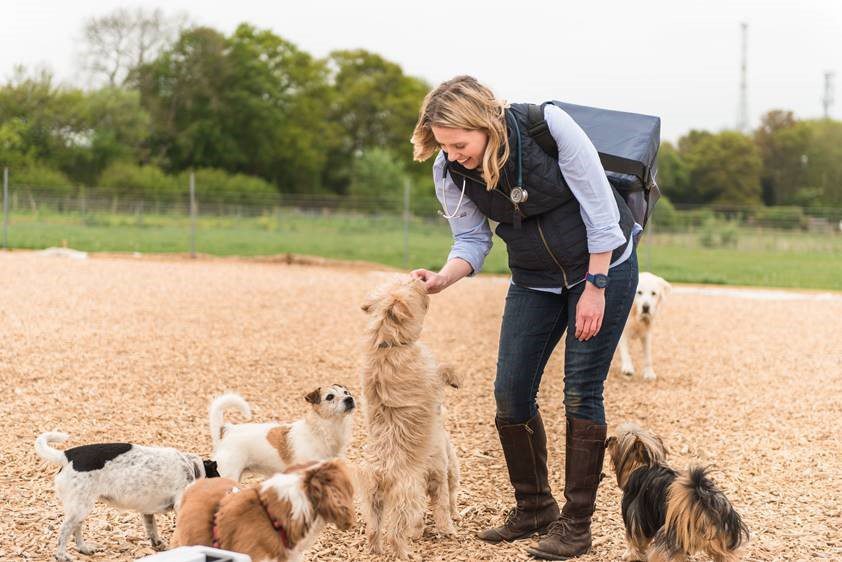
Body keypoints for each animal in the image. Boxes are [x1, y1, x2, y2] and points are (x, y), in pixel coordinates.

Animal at [36, 430, 220, 556]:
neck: (192, 467)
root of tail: (66, 456)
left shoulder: (147, 512)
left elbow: (152, 530)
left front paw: (158, 545)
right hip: (80, 508)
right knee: (64, 531)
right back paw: (62, 556)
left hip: (80, 508)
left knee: (76, 529)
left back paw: (84, 549)